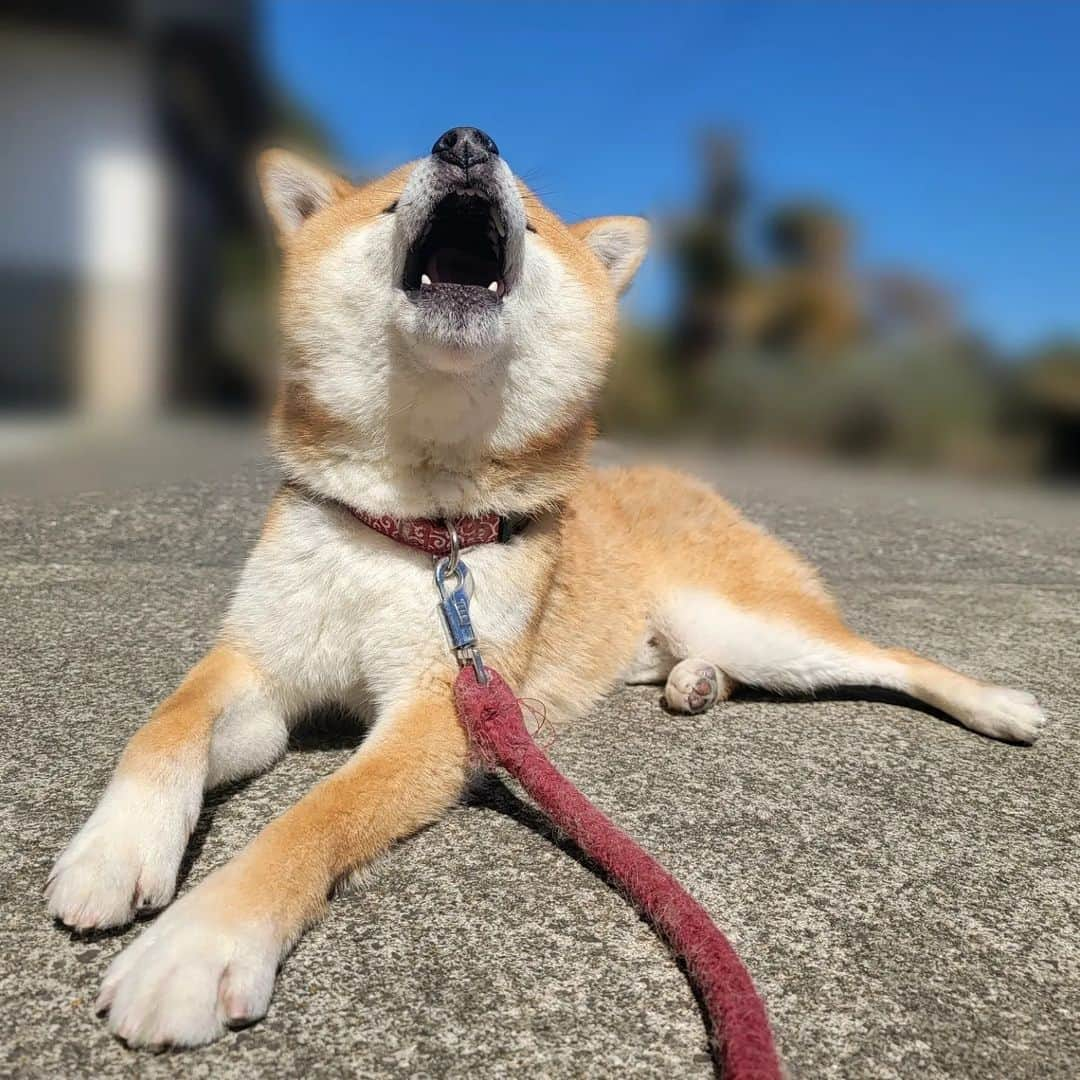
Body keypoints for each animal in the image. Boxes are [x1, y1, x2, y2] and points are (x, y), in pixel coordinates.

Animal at [44, 126, 1045, 1045]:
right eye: (387, 202)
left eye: (528, 215)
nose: (466, 142)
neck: (417, 527)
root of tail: (682, 480)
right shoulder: (262, 662)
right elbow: (165, 728)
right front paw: (115, 848)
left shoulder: (441, 708)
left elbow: (308, 820)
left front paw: (196, 944)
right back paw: (695, 682)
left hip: (760, 626)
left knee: (890, 655)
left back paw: (997, 704)